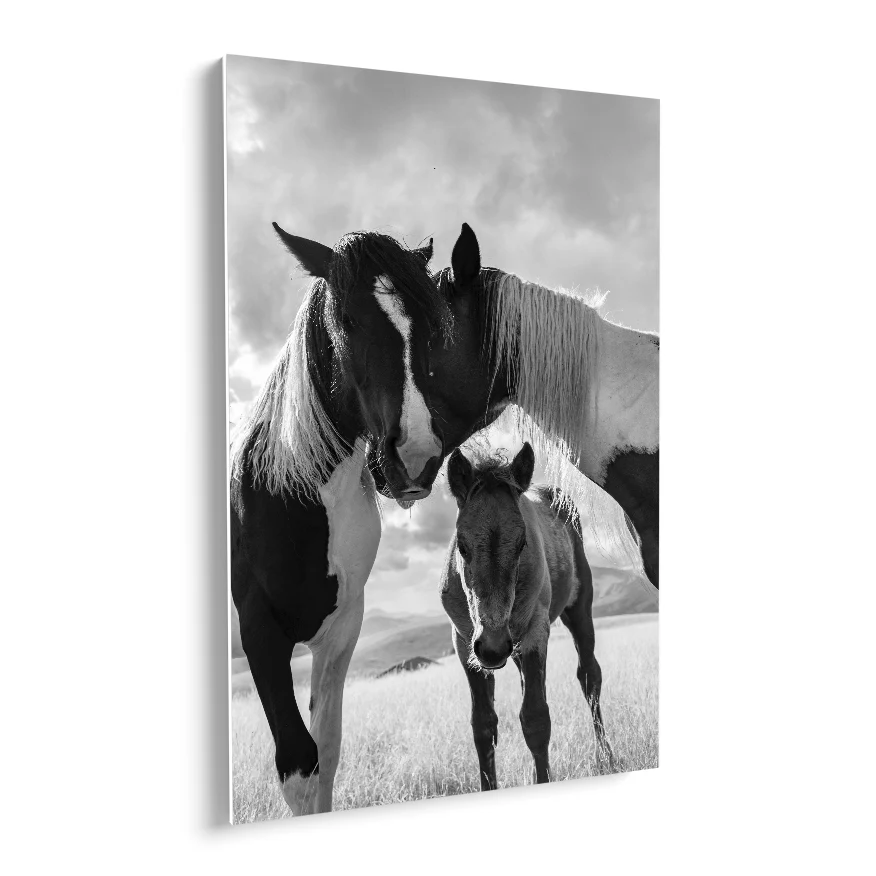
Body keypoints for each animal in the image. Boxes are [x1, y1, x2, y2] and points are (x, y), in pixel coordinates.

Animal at [230, 223, 452, 816]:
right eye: (347, 319)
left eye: (427, 322)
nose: (416, 458)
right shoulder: (259, 632)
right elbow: (299, 764)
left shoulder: (341, 630)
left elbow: (326, 752)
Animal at [440, 442, 611, 791]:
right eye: (461, 545)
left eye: (522, 544)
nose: (492, 648)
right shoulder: (464, 643)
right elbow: (483, 727)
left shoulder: (535, 634)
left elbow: (535, 719)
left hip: (578, 609)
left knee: (590, 676)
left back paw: (606, 756)